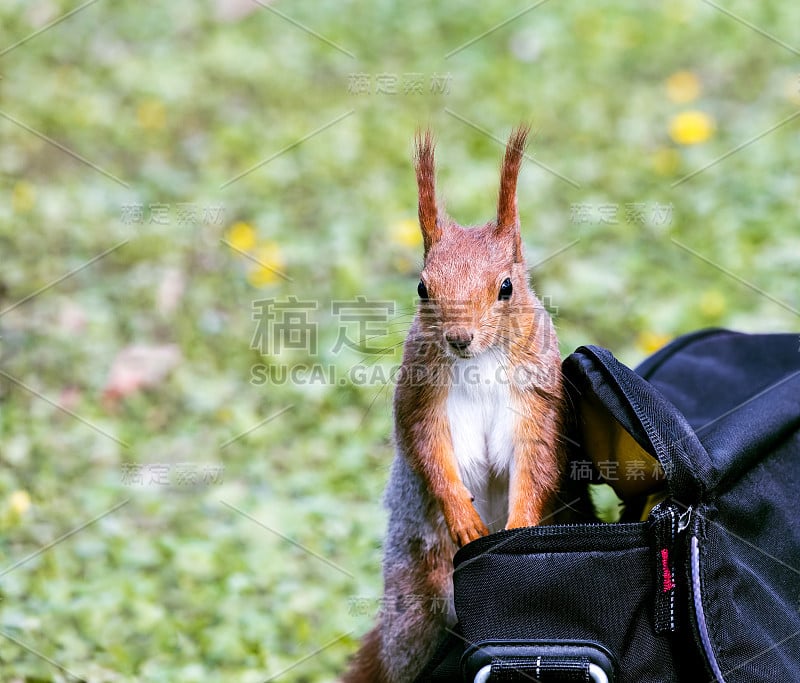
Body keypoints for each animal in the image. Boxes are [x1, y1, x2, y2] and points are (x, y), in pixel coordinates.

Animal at [342, 125, 564, 680]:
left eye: (506, 287)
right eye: (423, 287)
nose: (459, 338)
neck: (479, 361)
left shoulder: (539, 398)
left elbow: (537, 461)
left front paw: (521, 526)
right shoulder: (421, 395)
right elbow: (426, 450)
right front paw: (462, 514)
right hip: (417, 594)